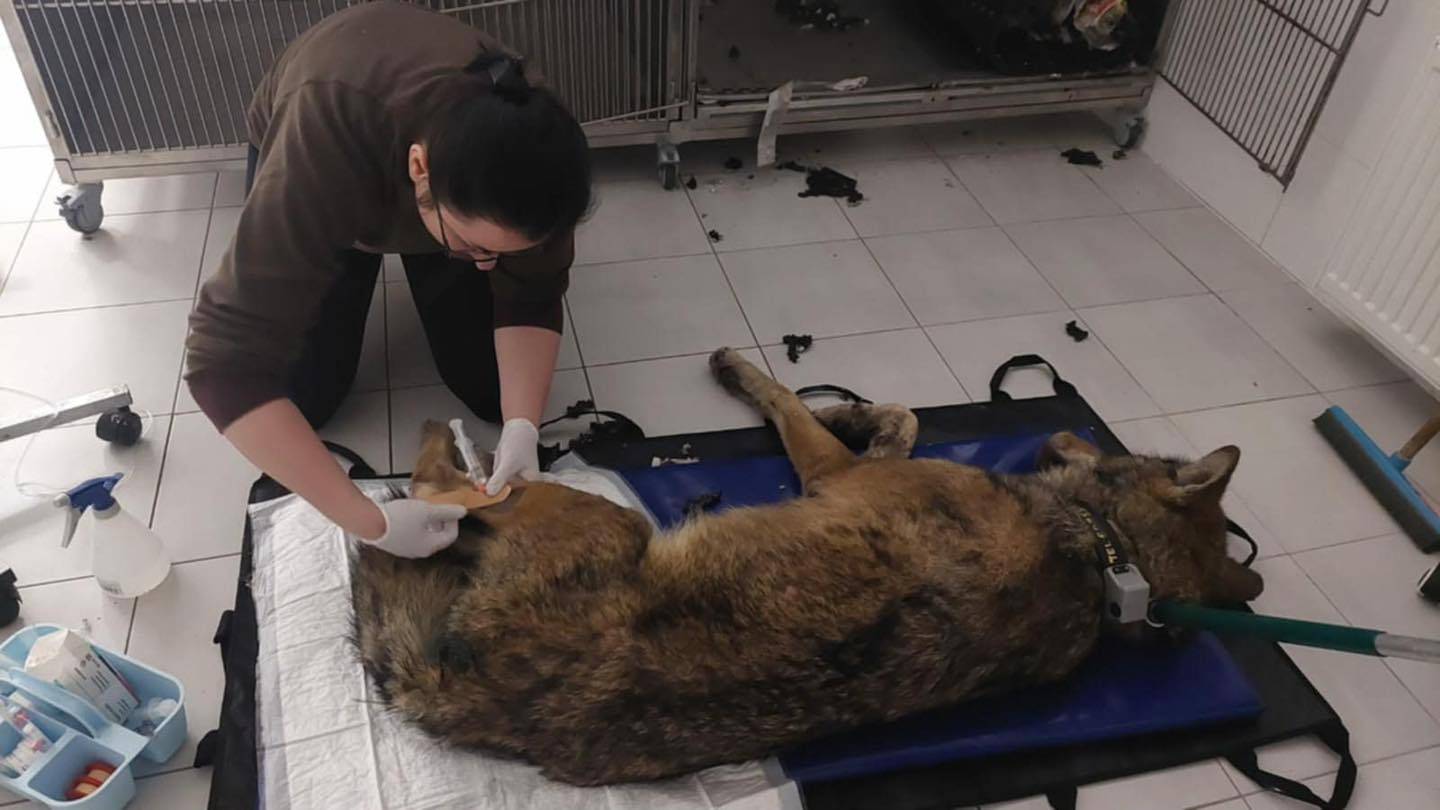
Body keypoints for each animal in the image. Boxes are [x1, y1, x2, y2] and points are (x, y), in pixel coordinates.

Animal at [350, 348, 1263, 786]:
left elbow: (791, 403)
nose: (1066, 431)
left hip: (582, 513)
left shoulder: (833, 474)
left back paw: (437, 451)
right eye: (1122, 445)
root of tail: (461, 691)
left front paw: (765, 382)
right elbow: (899, 415)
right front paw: (855, 408)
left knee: (434, 492)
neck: (1105, 556)